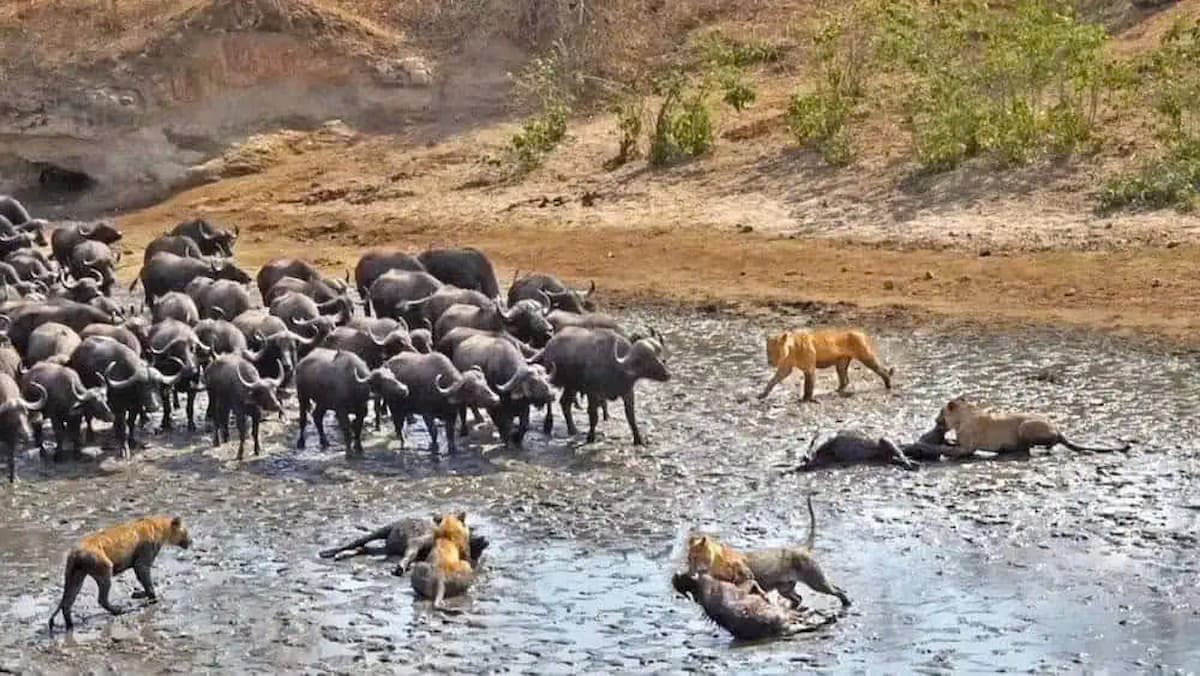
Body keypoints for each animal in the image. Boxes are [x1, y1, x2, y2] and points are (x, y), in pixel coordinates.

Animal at [48, 516, 190, 633]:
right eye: (186, 531)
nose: (191, 541)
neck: (161, 530)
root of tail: (74, 553)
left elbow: (144, 581)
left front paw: (137, 594)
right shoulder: (143, 557)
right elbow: (146, 578)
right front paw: (152, 598)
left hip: (76, 574)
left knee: (69, 598)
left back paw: (69, 625)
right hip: (103, 566)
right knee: (102, 596)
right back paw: (118, 610)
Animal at [758, 328, 892, 401]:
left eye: (777, 351)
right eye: (768, 351)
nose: (770, 362)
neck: (791, 350)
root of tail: (861, 332)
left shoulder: (809, 368)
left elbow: (808, 385)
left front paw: (805, 399)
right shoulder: (785, 368)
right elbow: (772, 381)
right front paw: (763, 394)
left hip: (866, 356)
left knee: (880, 369)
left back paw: (888, 384)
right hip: (841, 363)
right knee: (845, 379)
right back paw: (837, 390)